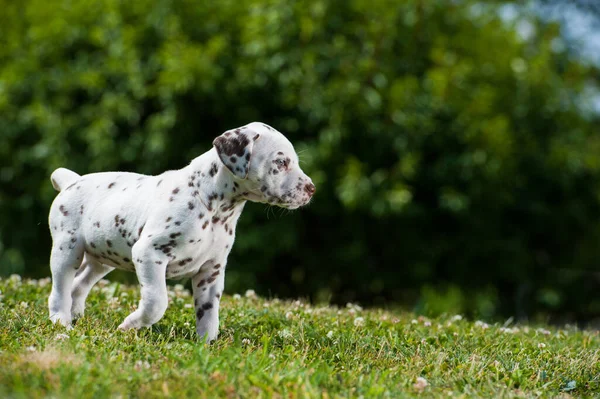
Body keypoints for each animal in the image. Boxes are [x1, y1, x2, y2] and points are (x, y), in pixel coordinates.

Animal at [47, 123, 314, 342]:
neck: (213, 207)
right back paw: (62, 322)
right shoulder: (149, 254)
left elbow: (209, 314)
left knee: (78, 285)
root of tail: (72, 181)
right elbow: (156, 303)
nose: (312, 189)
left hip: (101, 260)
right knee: (60, 290)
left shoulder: (211, 271)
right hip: (66, 252)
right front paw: (130, 325)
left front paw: (206, 347)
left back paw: (77, 316)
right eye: (281, 162)